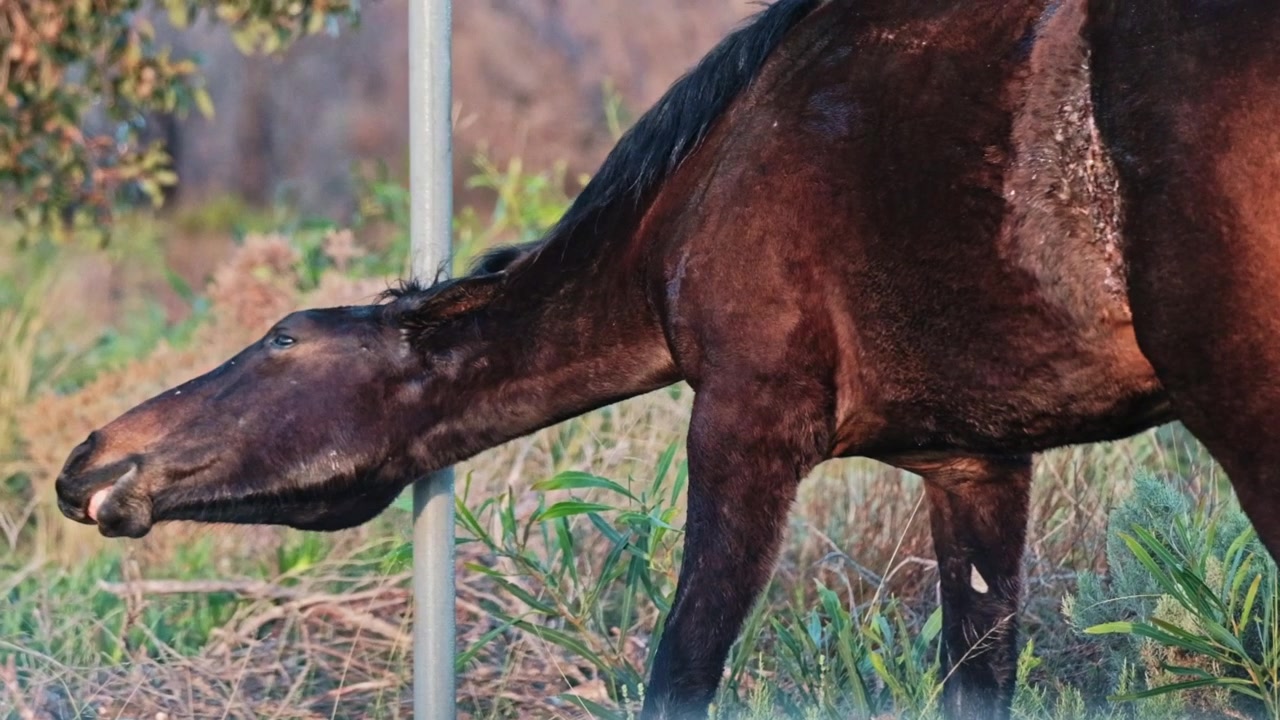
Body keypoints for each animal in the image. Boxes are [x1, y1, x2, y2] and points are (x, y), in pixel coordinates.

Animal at [53, 0, 1280, 717]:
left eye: (282, 340)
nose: (90, 461)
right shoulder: (976, 467)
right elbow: (976, 677)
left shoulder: (745, 424)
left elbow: (679, 672)